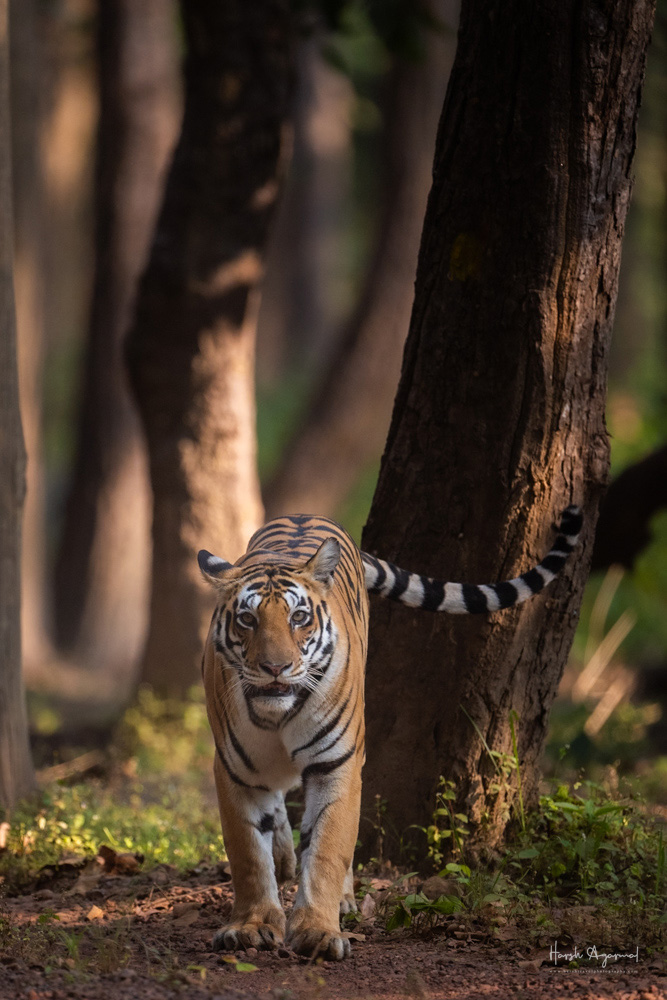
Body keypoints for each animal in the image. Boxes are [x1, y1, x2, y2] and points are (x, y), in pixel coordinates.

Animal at [199, 505, 582, 961]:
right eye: (247, 619)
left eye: (298, 618)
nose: (276, 668)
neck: (278, 716)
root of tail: (303, 514)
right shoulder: (234, 770)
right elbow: (248, 856)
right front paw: (252, 926)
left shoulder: (336, 764)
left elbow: (327, 850)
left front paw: (317, 931)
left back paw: (340, 898)